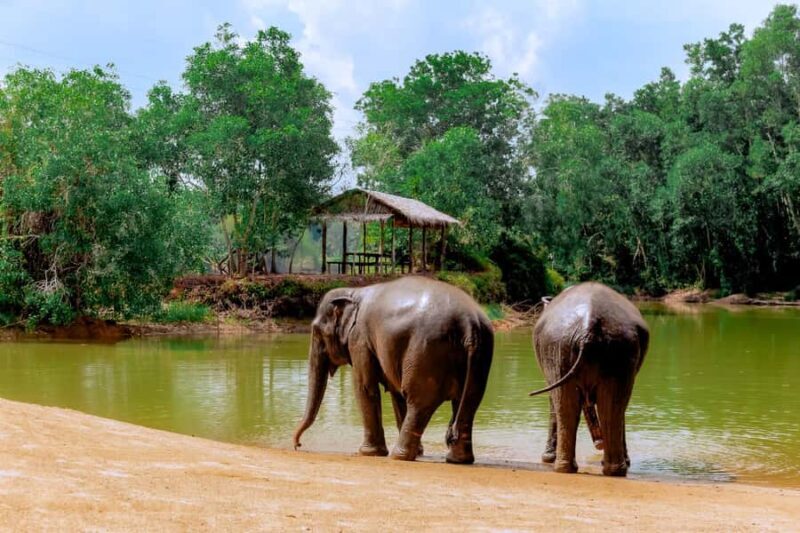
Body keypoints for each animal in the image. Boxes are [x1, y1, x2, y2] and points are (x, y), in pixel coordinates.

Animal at [292, 276, 494, 464]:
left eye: (317, 331)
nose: (297, 445)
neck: (354, 292)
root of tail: (469, 323)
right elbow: (396, 394)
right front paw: (419, 452)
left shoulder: (359, 339)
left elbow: (365, 388)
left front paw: (368, 453)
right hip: (480, 356)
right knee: (468, 403)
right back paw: (457, 460)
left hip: (426, 353)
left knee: (419, 402)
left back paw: (399, 456)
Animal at [529, 282, 649, 476]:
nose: (599, 444)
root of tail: (588, 324)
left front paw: (547, 458)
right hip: (608, 350)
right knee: (607, 406)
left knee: (575, 405)